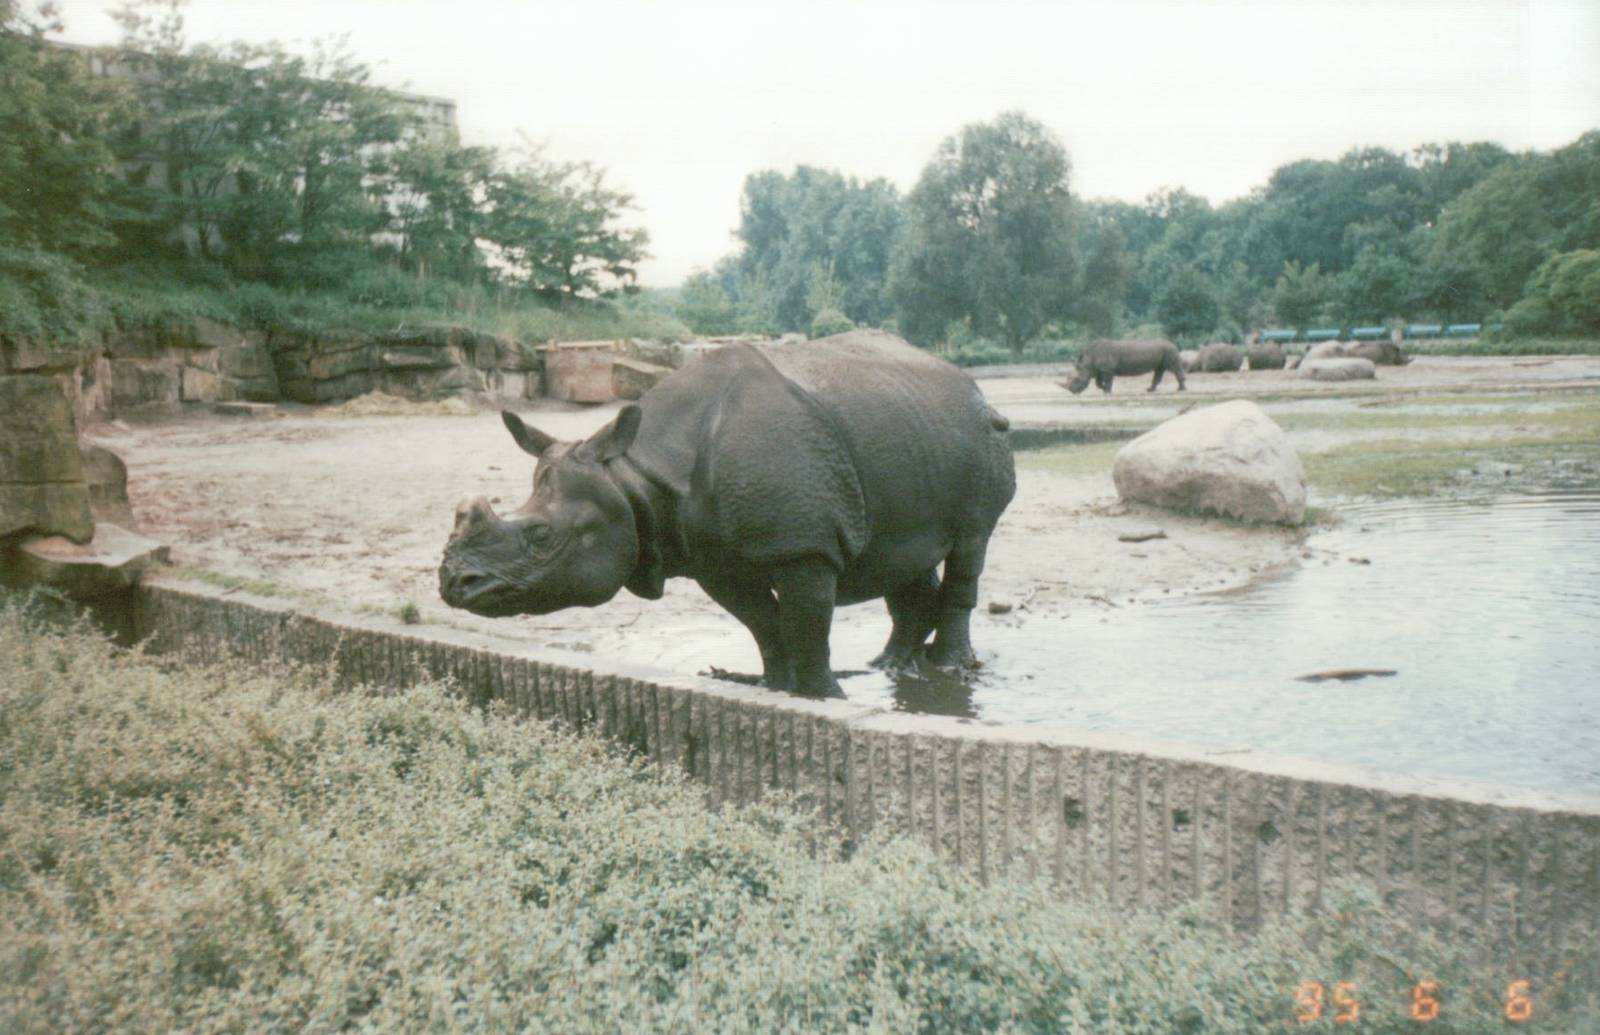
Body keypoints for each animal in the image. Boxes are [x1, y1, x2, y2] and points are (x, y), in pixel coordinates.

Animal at [438, 331, 1017, 699]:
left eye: (540, 535)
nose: (452, 585)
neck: (633, 473)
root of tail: (970, 383)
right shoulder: (712, 560)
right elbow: (766, 625)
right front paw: (778, 688)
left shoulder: (804, 545)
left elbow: (807, 624)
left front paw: (824, 697)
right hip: (914, 436)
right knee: (904, 552)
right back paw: (891, 666)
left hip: (984, 437)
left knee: (971, 541)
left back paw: (948, 668)